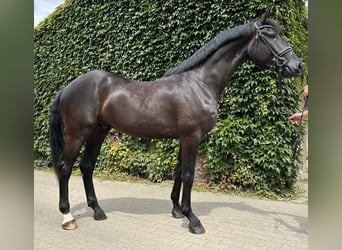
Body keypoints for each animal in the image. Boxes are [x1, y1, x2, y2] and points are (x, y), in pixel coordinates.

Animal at [48, 9, 302, 234]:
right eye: (271, 35)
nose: (297, 66)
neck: (199, 84)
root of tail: (69, 87)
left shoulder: (184, 138)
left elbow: (179, 172)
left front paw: (178, 210)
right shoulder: (192, 137)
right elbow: (189, 176)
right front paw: (193, 220)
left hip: (99, 131)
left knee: (86, 166)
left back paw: (98, 210)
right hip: (78, 133)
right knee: (65, 167)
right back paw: (67, 217)